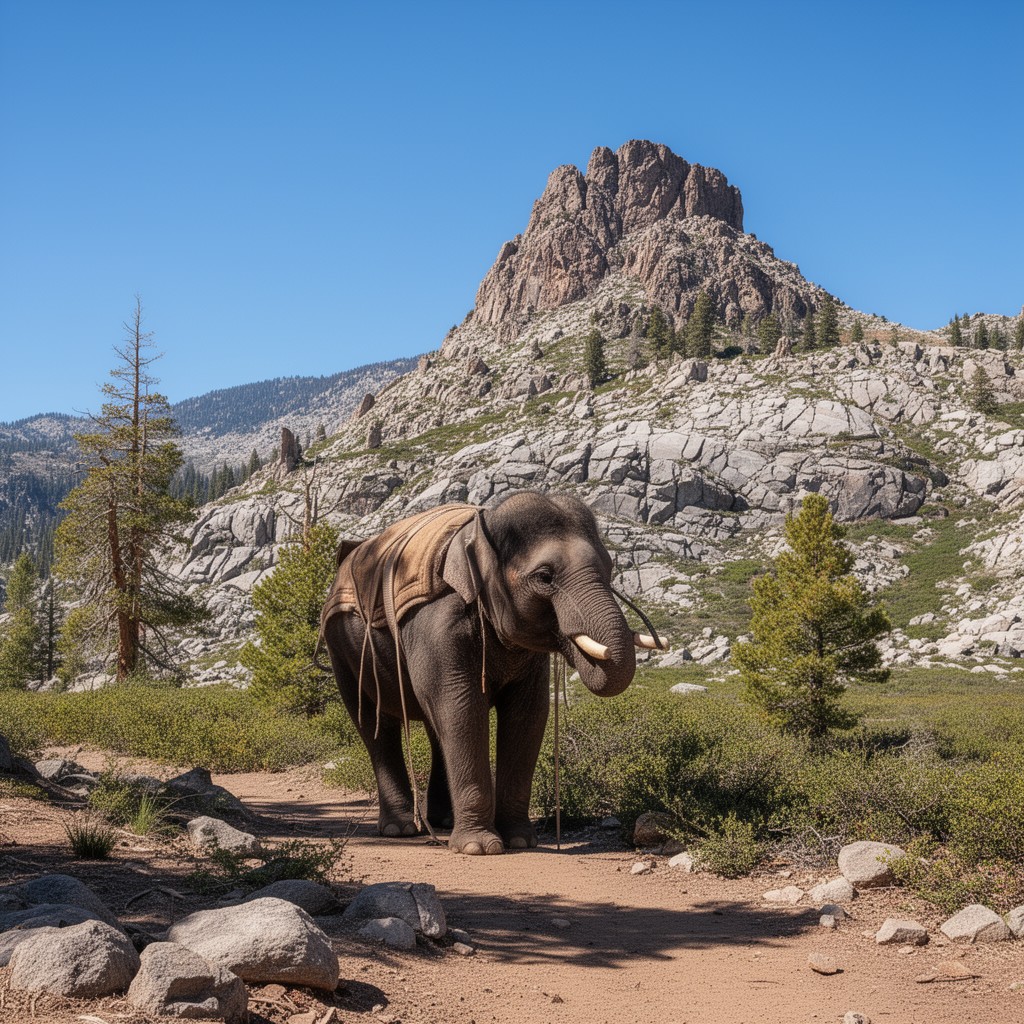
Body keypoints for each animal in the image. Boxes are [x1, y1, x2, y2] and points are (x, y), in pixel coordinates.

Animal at [320, 491, 662, 855]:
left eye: (611, 569)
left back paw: (444, 822)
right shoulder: (437, 622)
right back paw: (401, 829)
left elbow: (528, 714)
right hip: (341, 649)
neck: (479, 534)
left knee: (434, 727)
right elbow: (462, 706)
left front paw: (521, 841)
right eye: (545, 577)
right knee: (375, 724)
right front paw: (480, 848)